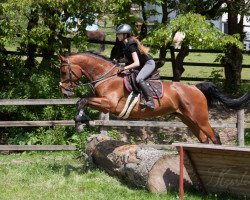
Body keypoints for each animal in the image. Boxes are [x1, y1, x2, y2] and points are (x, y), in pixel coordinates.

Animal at [59, 52, 250, 145]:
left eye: (64, 71)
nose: (64, 93)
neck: (107, 77)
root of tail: (195, 88)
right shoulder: (103, 103)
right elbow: (82, 101)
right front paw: (82, 121)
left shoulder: (110, 105)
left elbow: (82, 100)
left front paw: (80, 123)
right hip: (188, 119)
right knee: (203, 139)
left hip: (200, 118)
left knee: (215, 137)